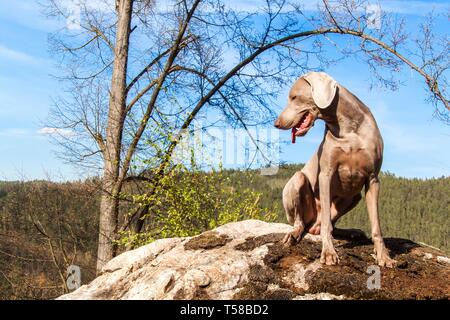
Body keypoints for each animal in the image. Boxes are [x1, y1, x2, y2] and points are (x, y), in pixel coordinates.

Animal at [272, 72, 396, 268]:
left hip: (354, 197)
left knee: (332, 222)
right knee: (302, 222)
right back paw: (294, 234)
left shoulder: (373, 179)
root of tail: (312, 223)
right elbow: (326, 226)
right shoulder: (326, 174)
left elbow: (376, 225)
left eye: (294, 97)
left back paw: (351, 232)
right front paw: (329, 252)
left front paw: (383, 256)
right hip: (298, 181)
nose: (276, 124)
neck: (349, 129)